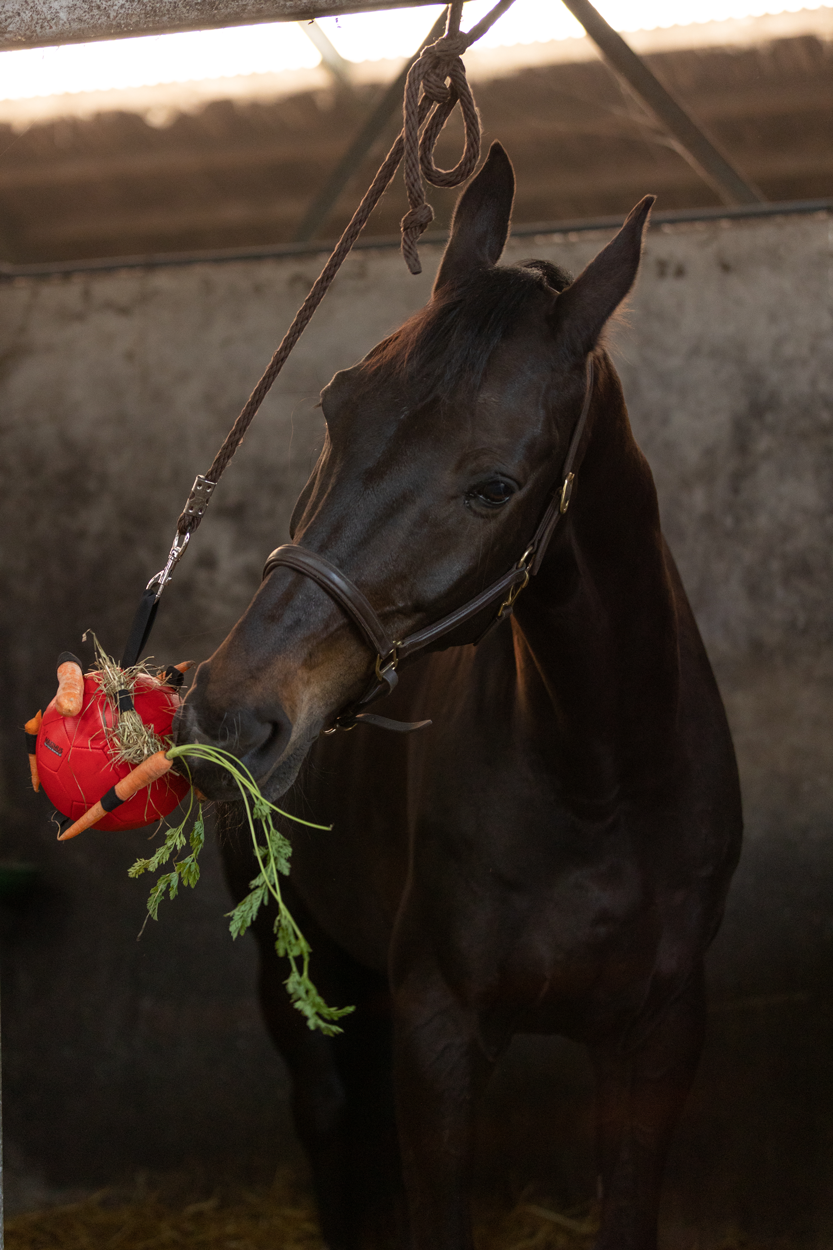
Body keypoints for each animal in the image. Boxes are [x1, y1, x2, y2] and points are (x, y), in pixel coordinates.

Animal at [176, 143, 743, 1250]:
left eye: (492, 487)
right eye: (334, 404)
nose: (228, 715)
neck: (597, 780)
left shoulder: (659, 1037)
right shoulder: (437, 1032)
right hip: (295, 968)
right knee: (329, 1119)